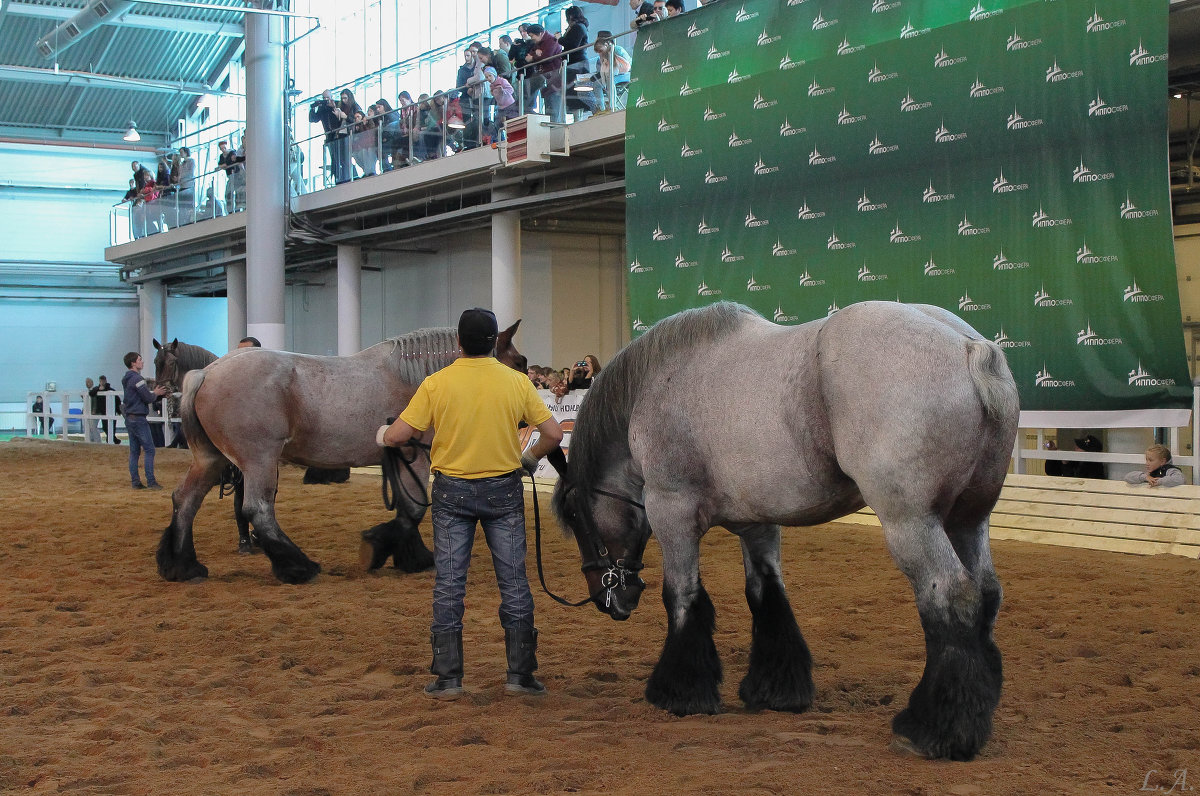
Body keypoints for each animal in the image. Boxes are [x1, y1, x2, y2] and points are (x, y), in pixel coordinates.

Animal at [160, 324, 530, 585]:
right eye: (519, 362)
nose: (525, 416)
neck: (419, 380)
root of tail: (207, 373)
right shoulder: (415, 457)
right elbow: (412, 509)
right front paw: (382, 550)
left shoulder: (396, 459)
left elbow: (405, 509)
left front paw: (409, 556)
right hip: (258, 460)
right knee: (257, 510)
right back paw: (298, 567)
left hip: (212, 460)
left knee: (185, 500)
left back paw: (183, 565)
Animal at [549, 302, 1012, 763]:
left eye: (573, 515)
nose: (608, 598)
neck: (656, 385)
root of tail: (968, 346)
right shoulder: (757, 523)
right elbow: (766, 594)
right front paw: (776, 690)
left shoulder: (671, 512)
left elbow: (681, 597)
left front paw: (679, 692)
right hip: (968, 520)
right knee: (986, 593)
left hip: (913, 522)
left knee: (951, 596)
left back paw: (931, 728)